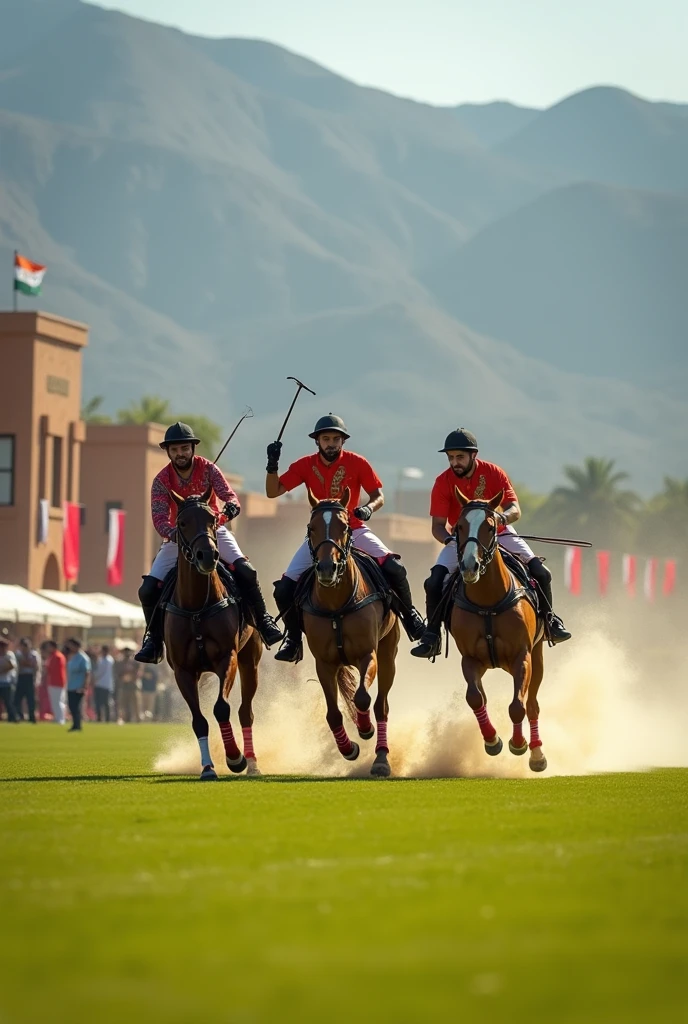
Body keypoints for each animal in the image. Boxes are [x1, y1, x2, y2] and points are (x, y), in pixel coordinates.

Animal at [164, 485, 264, 774]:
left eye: (213, 519)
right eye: (182, 523)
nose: (207, 556)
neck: (197, 605)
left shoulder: (226, 658)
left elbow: (222, 708)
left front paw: (234, 757)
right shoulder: (183, 671)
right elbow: (199, 720)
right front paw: (208, 768)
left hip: (250, 661)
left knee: (245, 711)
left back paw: (251, 762)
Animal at [303, 493, 403, 774]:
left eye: (345, 527)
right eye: (311, 528)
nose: (327, 568)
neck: (336, 603)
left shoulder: (367, 654)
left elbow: (362, 697)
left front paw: (365, 728)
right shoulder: (324, 663)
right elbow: (333, 713)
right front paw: (348, 749)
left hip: (388, 653)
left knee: (381, 705)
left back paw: (381, 758)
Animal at [448, 487, 552, 770]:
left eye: (491, 526)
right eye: (459, 526)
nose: (469, 566)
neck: (488, 602)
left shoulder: (522, 656)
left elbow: (518, 706)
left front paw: (519, 744)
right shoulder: (470, 659)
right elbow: (475, 697)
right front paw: (492, 740)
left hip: (537, 656)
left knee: (532, 704)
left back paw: (537, 754)